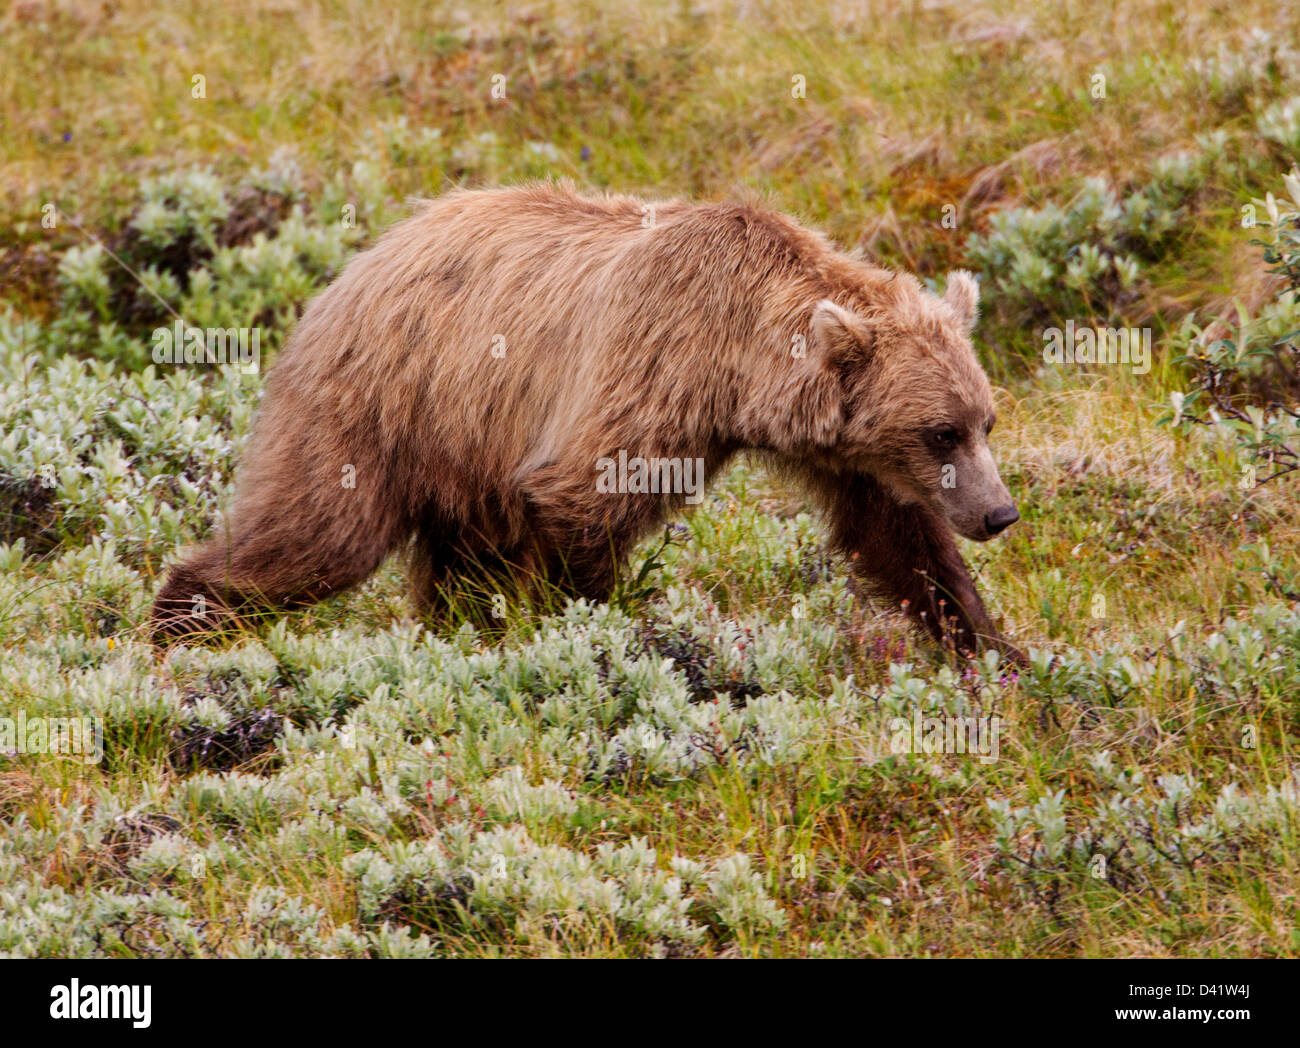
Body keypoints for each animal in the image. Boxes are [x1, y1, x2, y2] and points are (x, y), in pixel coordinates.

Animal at [152, 182, 1019, 660]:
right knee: (317, 536)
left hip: (462, 450)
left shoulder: (842, 453)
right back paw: (177, 623)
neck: (739, 363)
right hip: (379, 406)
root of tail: (349, 268)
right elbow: (584, 503)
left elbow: (898, 538)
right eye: (940, 431)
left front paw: (992, 650)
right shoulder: (649, 370)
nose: (1000, 512)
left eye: (985, 421)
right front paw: (600, 638)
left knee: (456, 568)